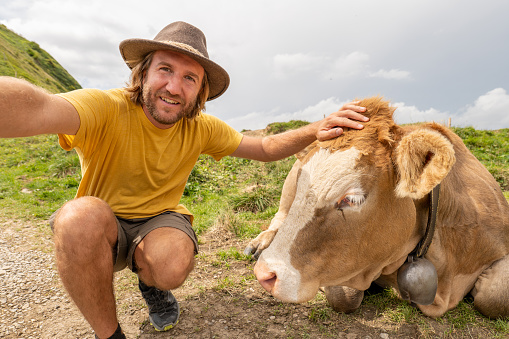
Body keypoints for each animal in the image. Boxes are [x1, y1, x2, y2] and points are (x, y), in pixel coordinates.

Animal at [244, 97, 506, 320]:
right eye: (303, 182)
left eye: (352, 199)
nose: (265, 274)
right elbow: (344, 297)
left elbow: (495, 296)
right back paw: (260, 243)